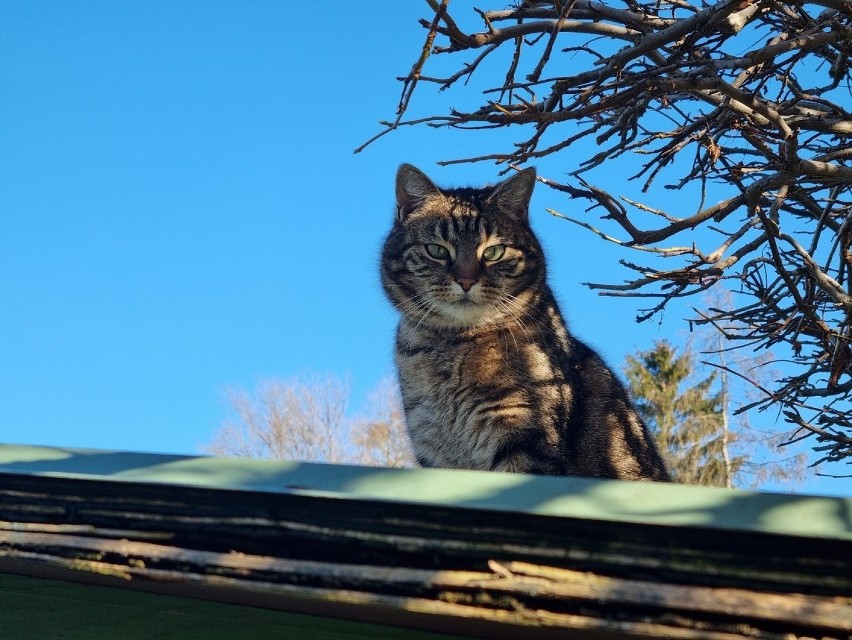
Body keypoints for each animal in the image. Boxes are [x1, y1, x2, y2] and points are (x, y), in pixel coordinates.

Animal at [382, 165, 672, 480]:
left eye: (494, 252)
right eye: (437, 250)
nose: (466, 280)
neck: (453, 344)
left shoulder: (524, 437)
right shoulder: (432, 450)